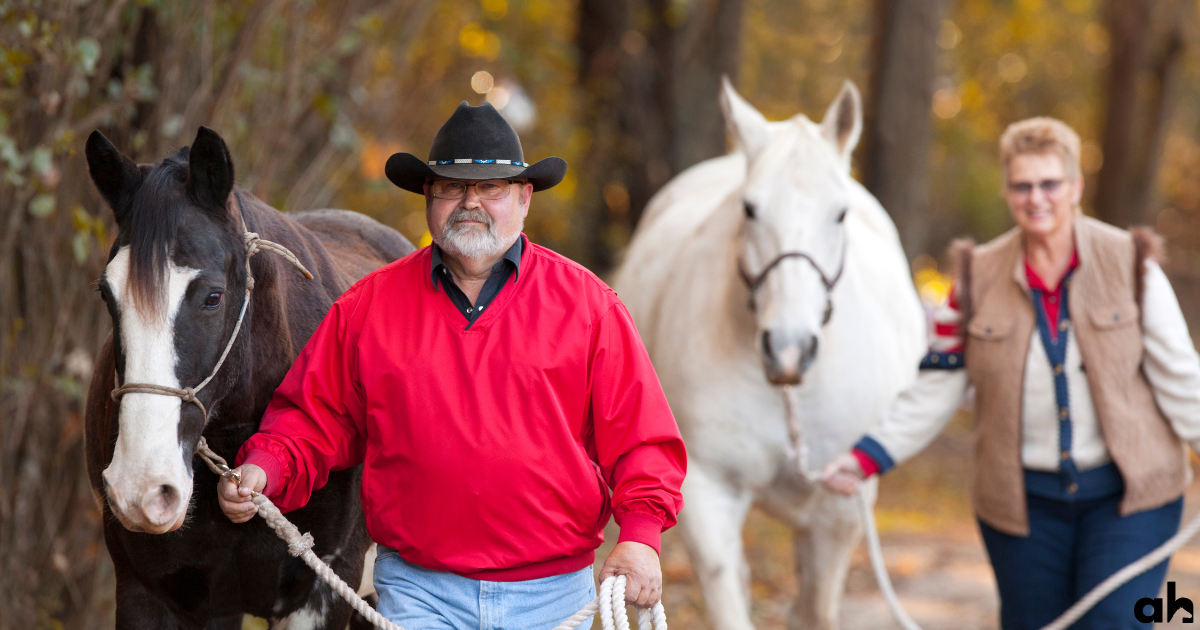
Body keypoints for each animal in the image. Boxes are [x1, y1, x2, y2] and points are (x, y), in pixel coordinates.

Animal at [612, 79, 926, 630]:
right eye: (750, 209)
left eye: (840, 213)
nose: (789, 349)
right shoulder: (709, 491)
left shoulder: (839, 509)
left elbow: (815, 609)